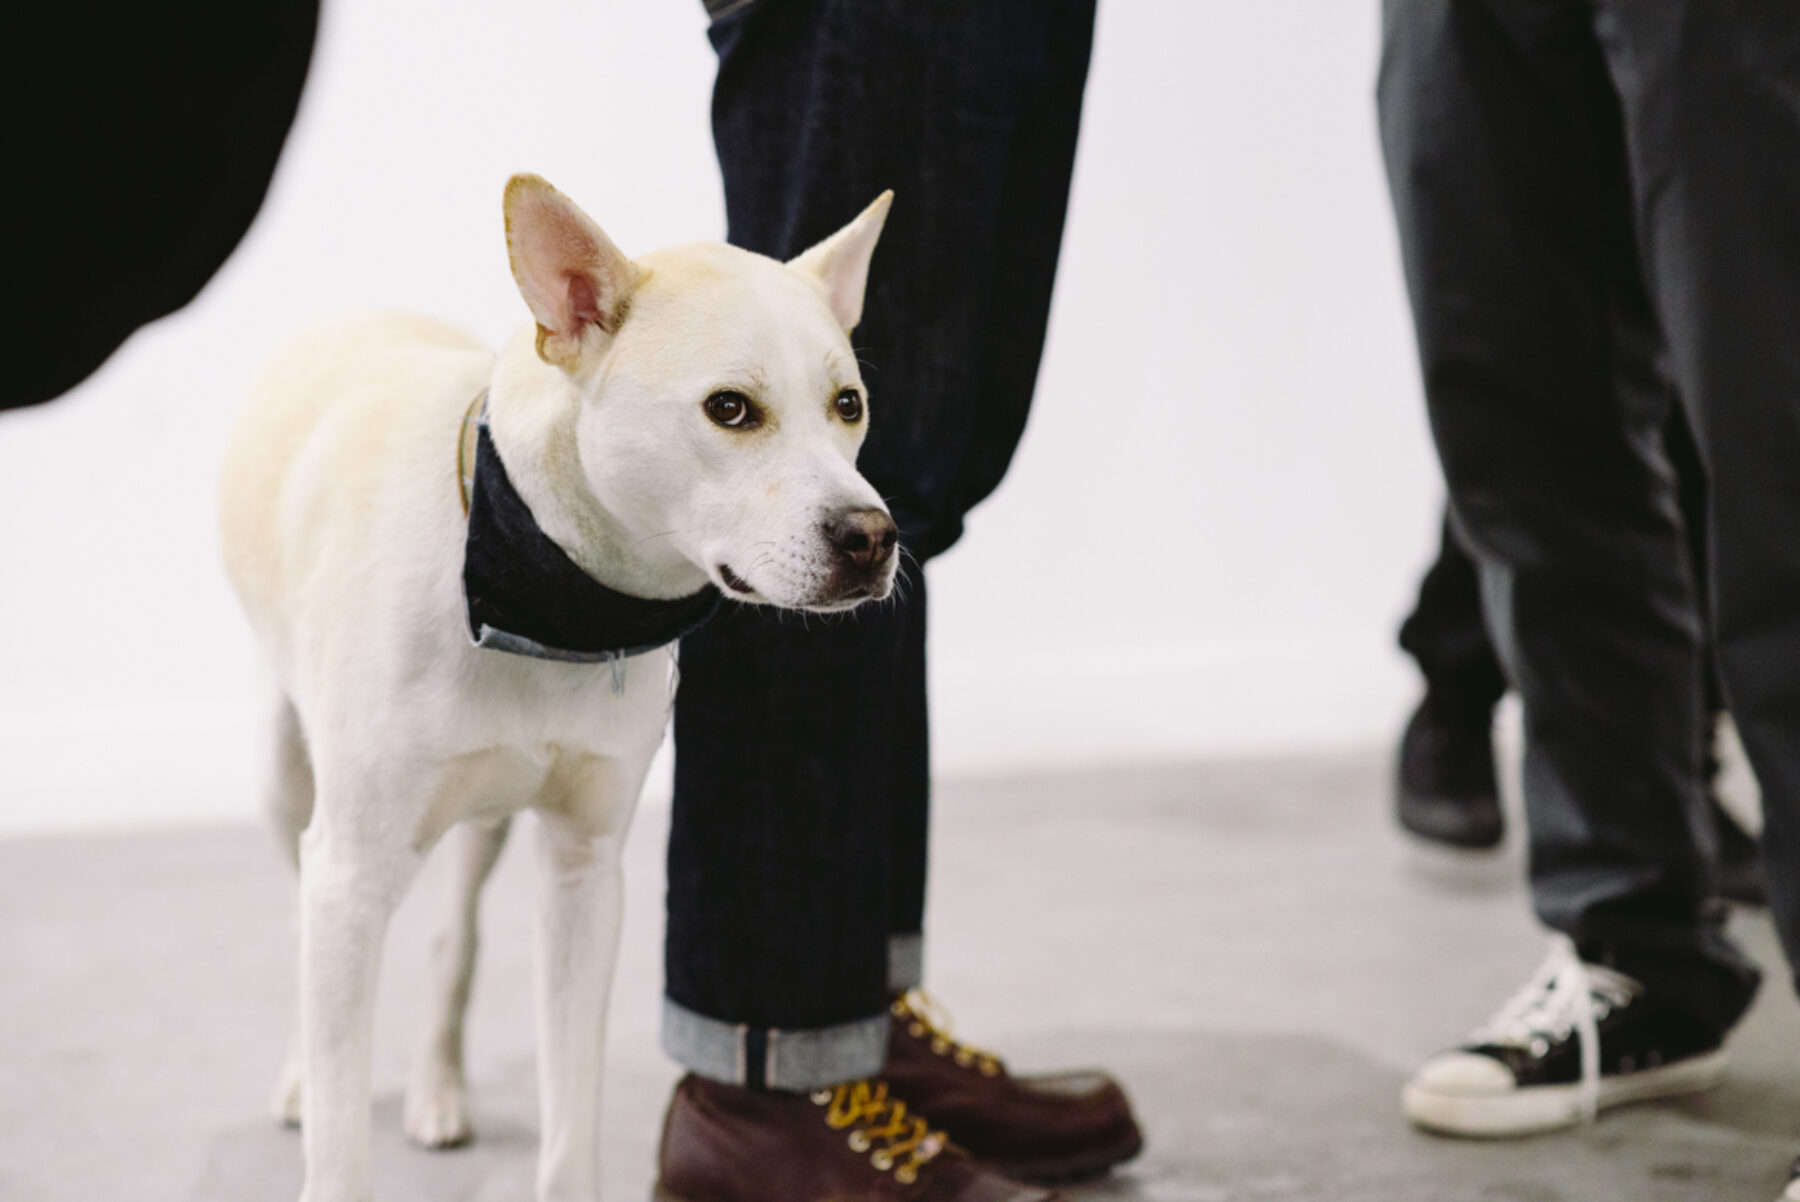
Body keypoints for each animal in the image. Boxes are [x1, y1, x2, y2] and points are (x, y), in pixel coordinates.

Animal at [221, 170, 896, 1202]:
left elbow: (570, 1105)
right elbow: (338, 1138)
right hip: (288, 782)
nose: (871, 538)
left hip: (481, 822)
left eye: (848, 404)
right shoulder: (350, 869)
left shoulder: (583, 872)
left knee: (454, 941)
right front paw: (327, 1106)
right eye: (731, 410)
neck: (540, 596)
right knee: (309, 935)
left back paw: (438, 1090)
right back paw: (304, 1076)